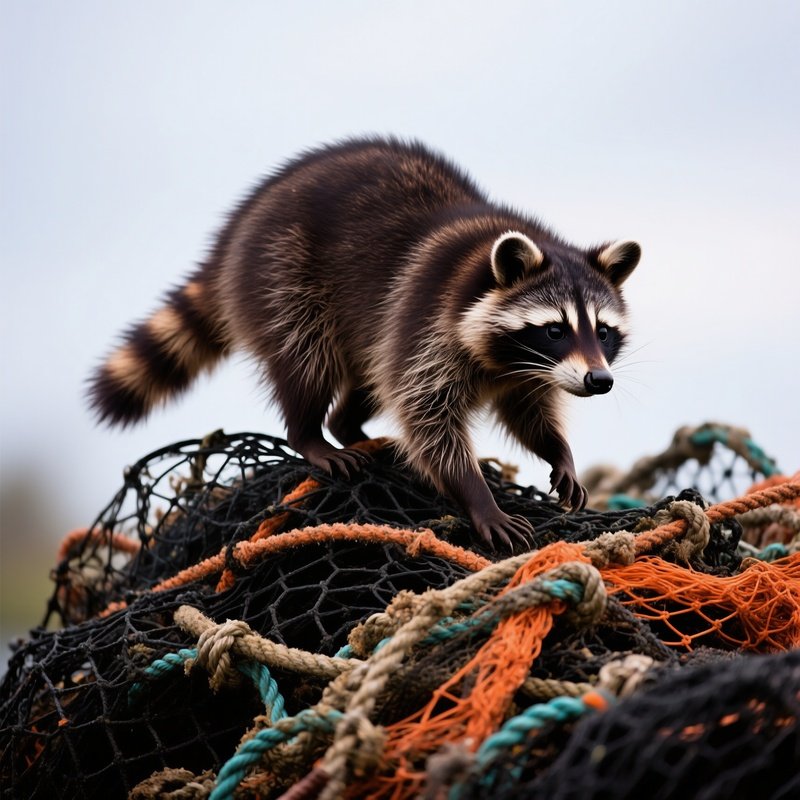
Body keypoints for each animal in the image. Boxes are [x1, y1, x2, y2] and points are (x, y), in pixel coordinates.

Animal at [89, 137, 641, 550]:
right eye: (555, 330)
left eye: (604, 332)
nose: (600, 380)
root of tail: (232, 236)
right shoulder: (428, 322)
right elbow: (427, 417)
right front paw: (477, 495)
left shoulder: (526, 371)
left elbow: (527, 412)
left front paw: (557, 451)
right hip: (281, 277)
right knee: (307, 359)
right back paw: (310, 432)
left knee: (371, 378)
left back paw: (348, 426)